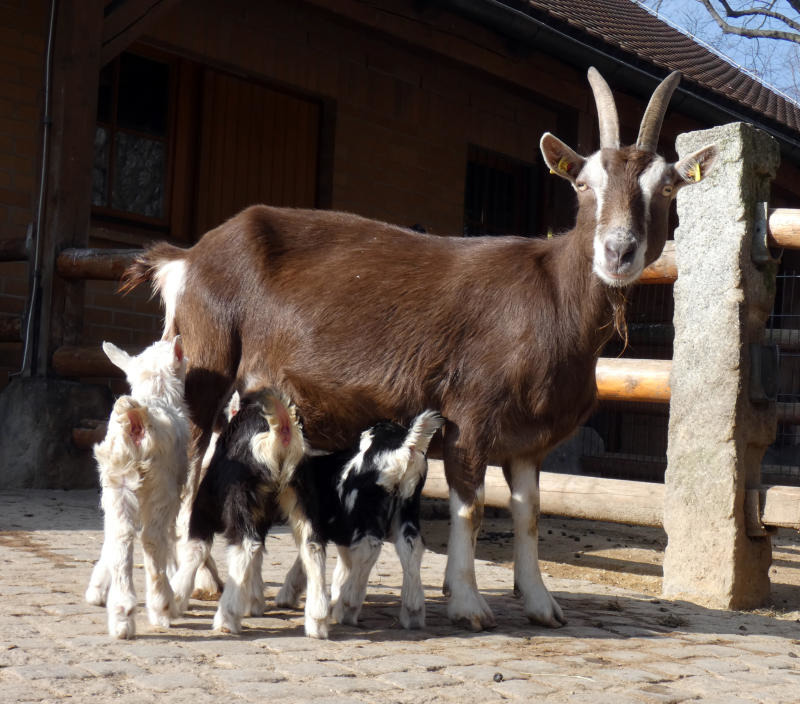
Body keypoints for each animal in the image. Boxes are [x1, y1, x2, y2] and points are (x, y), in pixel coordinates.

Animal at [123, 69, 720, 628]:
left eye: (668, 187)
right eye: (585, 184)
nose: (619, 251)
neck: (552, 299)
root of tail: (189, 258)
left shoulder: (529, 438)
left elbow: (527, 514)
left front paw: (540, 602)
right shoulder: (469, 415)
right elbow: (471, 509)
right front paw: (468, 602)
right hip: (208, 361)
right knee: (190, 464)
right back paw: (194, 583)